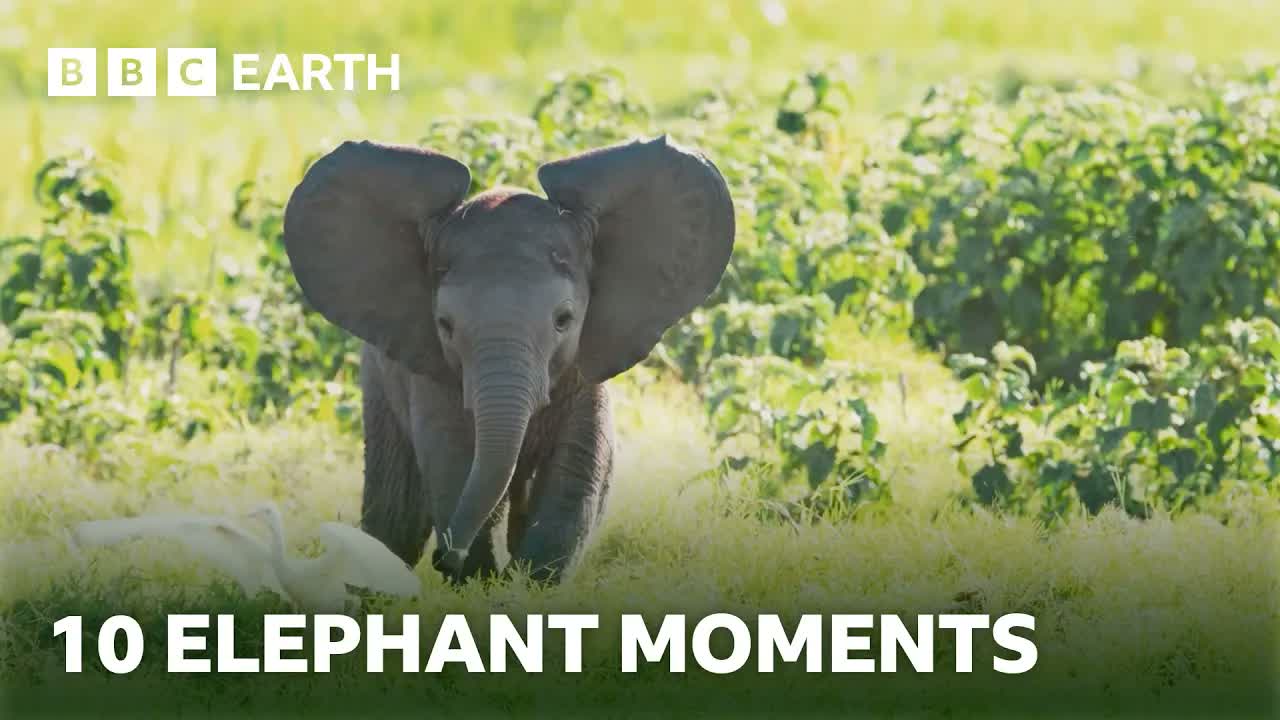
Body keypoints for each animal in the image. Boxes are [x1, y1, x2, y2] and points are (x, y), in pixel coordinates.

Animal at [281, 135, 735, 583]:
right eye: (445, 325)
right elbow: (452, 463)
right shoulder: (433, 375)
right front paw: (480, 580)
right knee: (396, 511)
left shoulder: (585, 374)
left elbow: (578, 472)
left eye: (564, 320)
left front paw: (530, 585)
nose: (444, 558)